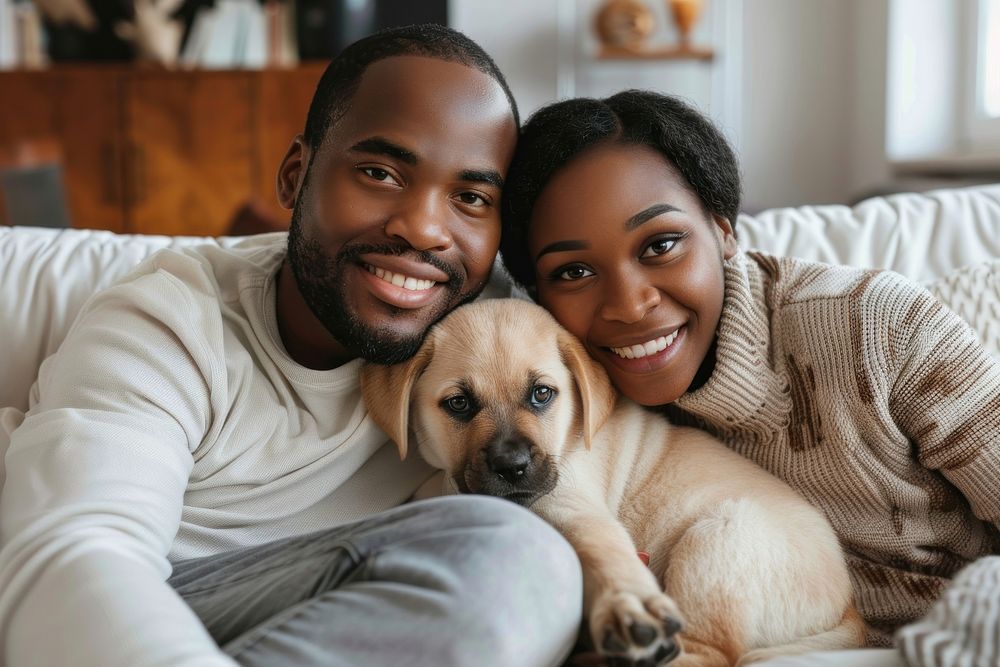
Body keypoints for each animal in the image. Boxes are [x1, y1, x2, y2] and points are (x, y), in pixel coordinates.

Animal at [362, 300, 868, 664]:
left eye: (541, 394)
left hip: (717, 543)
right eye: (459, 404)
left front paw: (627, 604)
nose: (512, 467)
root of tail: (848, 605)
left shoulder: (572, 505)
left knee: (709, 655)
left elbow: (602, 551)